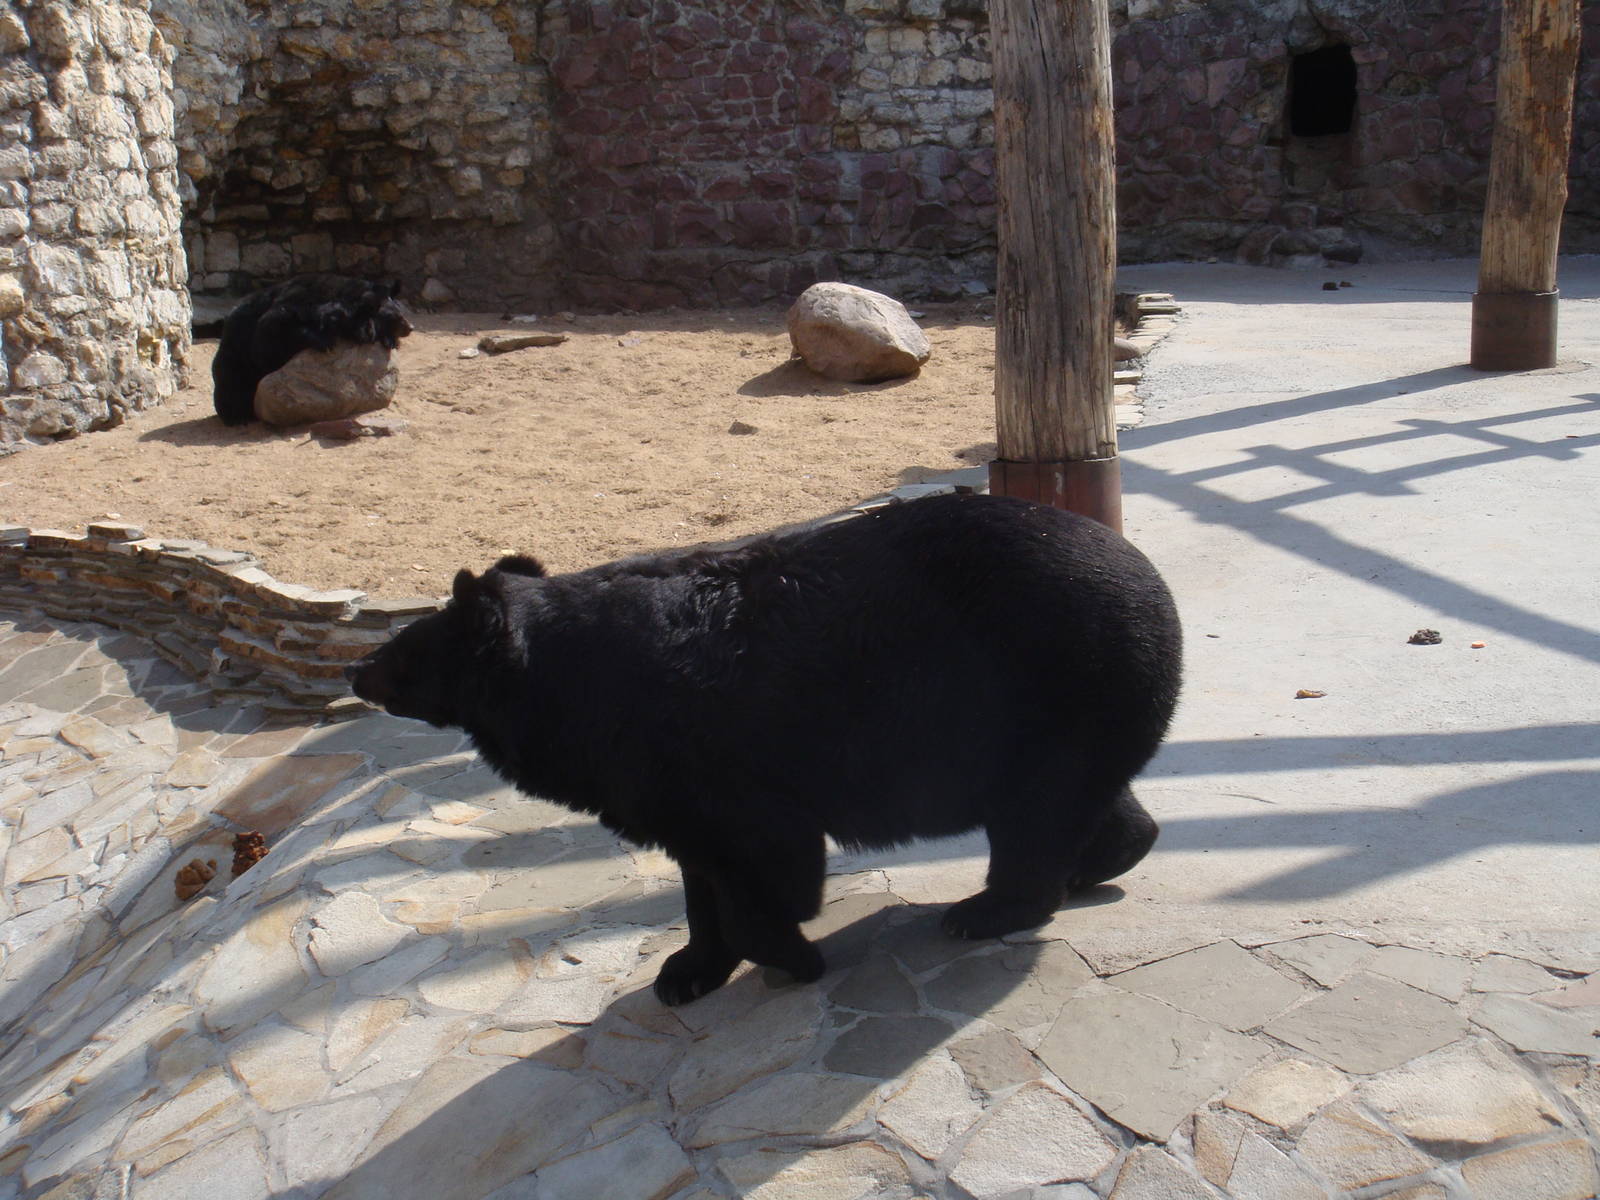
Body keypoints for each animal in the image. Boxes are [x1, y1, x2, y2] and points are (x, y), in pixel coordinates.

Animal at [210, 274, 414, 426]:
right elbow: (267, 341)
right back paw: (237, 417)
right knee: (231, 383)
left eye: (401, 312)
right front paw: (325, 341)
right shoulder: (296, 303)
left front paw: (390, 340)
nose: (410, 327)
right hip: (234, 357)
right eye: (396, 317)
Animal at [351, 493, 1183, 1005]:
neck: (573, 688)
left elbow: (762, 855)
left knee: (1035, 817)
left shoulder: (708, 755)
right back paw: (1102, 858)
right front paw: (686, 972)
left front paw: (792, 955)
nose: (356, 671)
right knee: (1084, 802)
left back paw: (984, 909)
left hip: (1043, 687)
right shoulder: (657, 781)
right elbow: (697, 871)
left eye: (402, 649)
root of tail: (1150, 579)